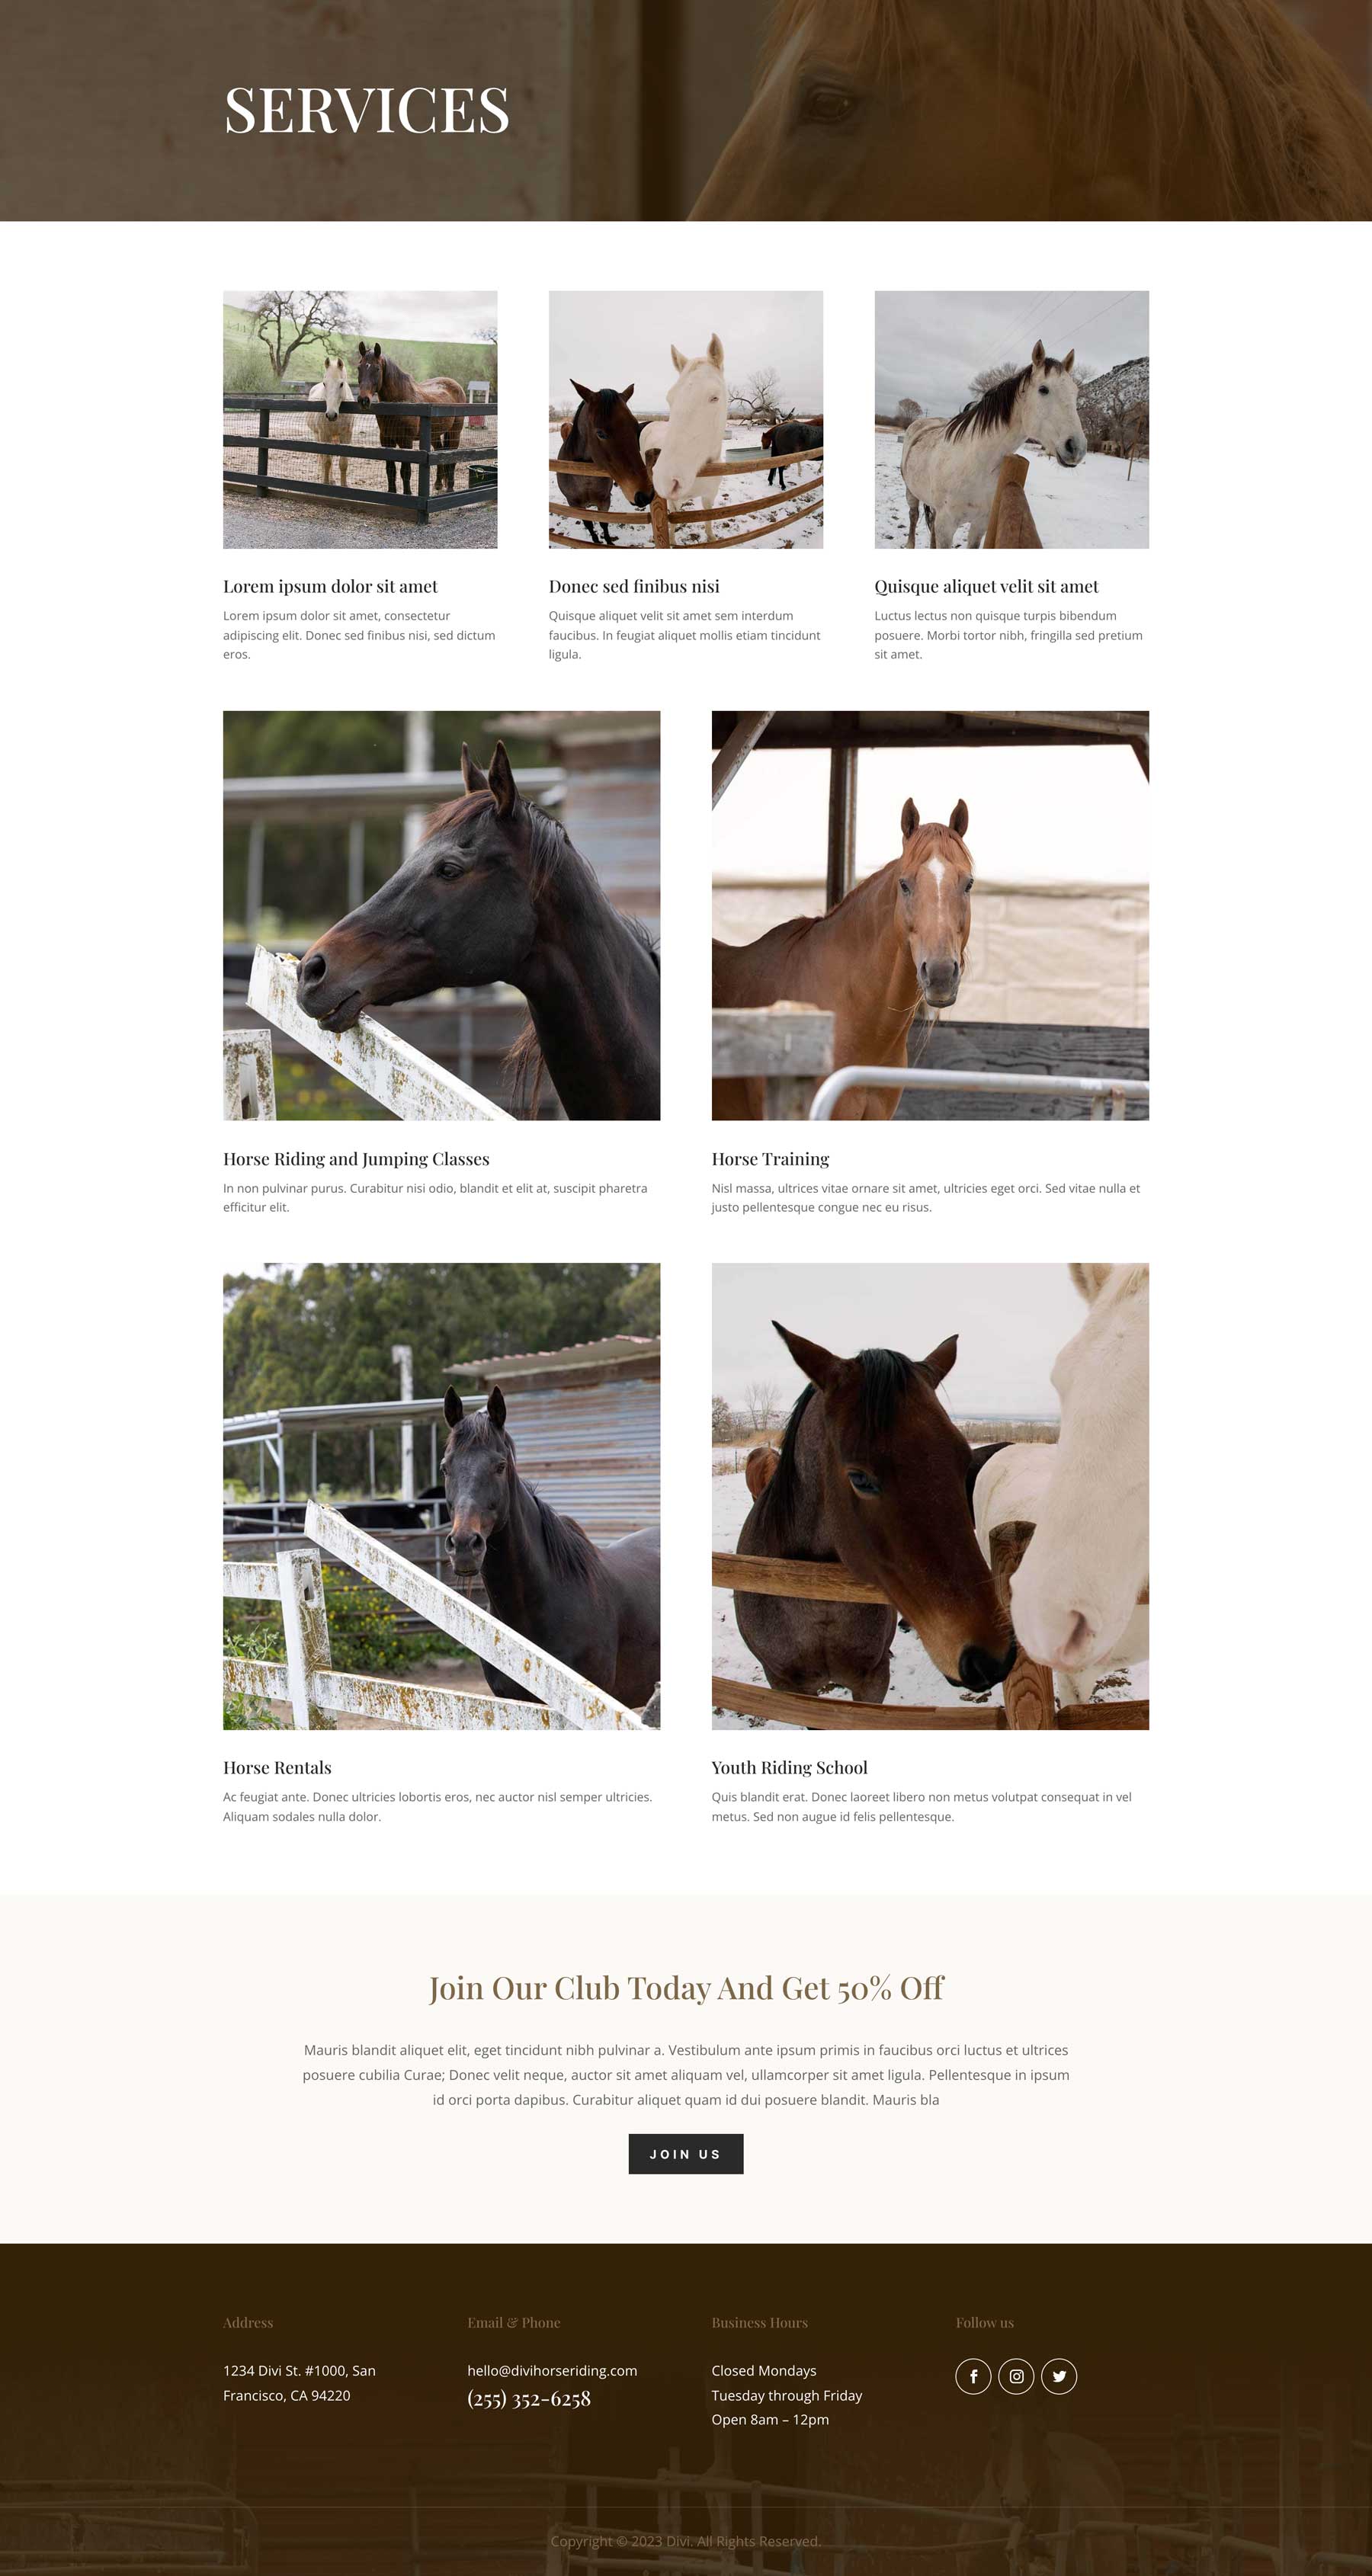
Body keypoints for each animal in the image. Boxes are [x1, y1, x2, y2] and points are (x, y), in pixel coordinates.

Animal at [307, 354, 352, 486]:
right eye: (325, 384)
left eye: (341, 384)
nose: (331, 415)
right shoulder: (324, 434)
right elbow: (327, 461)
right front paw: (325, 482)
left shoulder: (346, 435)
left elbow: (343, 462)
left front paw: (344, 485)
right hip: (318, 435)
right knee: (323, 458)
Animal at [354, 341, 467, 496]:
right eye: (359, 367)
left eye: (377, 369)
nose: (363, 400)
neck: (401, 402)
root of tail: (456, 385)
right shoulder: (386, 440)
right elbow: (391, 470)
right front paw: (391, 493)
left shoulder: (406, 441)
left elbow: (405, 470)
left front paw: (408, 494)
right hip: (434, 434)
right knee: (439, 453)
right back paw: (438, 485)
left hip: (455, 432)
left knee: (453, 458)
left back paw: (450, 488)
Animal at [555, 382, 653, 544]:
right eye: (600, 433)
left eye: (636, 428)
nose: (646, 495)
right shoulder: (575, 505)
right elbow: (589, 524)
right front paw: (595, 540)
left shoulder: (604, 502)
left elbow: (604, 522)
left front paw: (609, 541)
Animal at [731, 1322, 1016, 1703]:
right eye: (859, 1478)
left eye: (963, 1459)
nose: (991, 1656)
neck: (817, 1596)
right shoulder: (787, 1686)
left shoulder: (872, 1682)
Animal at [901, 349, 1084, 549]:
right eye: (1044, 389)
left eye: (1075, 392)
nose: (1077, 447)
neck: (973, 463)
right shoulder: (946, 525)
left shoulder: (980, 524)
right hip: (912, 493)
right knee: (913, 516)